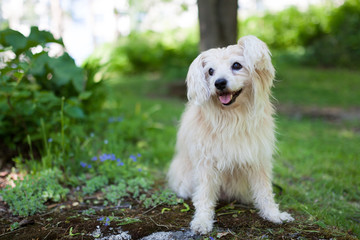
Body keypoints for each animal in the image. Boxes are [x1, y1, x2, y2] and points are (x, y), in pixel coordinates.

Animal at [167, 35, 294, 234]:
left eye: (236, 65)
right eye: (210, 71)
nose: (219, 83)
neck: (231, 117)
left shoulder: (258, 160)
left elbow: (265, 192)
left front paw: (273, 214)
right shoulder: (206, 164)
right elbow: (204, 196)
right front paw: (202, 221)